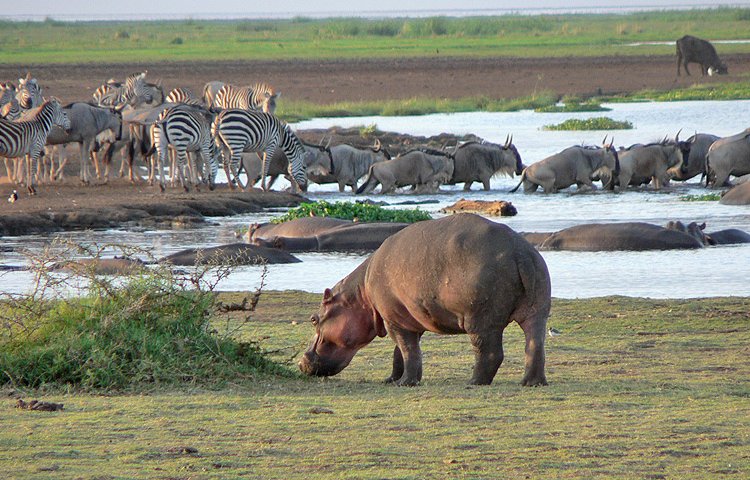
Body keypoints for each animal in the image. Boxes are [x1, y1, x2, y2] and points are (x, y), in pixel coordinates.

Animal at [300, 216, 552, 388]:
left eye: (313, 319)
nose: (301, 362)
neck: (360, 294)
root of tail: (520, 251)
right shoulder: (404, 318)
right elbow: (400, 353)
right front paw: (391, 379)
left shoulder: (393, 320)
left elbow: (408, 351)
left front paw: (404, 383)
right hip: (537, 309)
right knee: (534, 344)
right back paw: (532, 382)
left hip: (481, 320)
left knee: (490, 352)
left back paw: (473, 382)